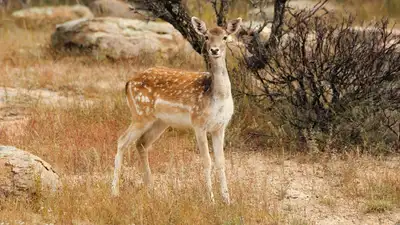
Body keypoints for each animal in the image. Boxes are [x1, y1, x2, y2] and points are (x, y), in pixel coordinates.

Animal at [111, 15, 242, 204]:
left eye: (225, 37)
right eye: (207, 37)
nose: (214, 50)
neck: (216, 97)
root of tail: (128, 83)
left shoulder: (220, 126)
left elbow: (221, 161)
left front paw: (227, 200)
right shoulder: (198, 123)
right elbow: (207, 160)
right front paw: (210, 199)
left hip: (160, 121)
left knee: (141, 143)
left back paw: (151, 189)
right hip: (140, 113)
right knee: (122, 140)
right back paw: (114, 191)